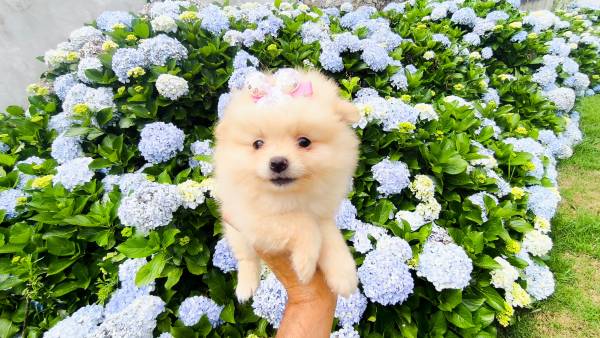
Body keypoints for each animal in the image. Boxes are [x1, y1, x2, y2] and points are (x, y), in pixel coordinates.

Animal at [213, 68, 358, 302]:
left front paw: (343, 274)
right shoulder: (252, 218)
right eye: (258, 144)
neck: (289, 196)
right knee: (246, 258)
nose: (278, 162)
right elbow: (302, 223)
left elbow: (329, 236)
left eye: (304, 142)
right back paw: (246, 286)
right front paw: (305, 263)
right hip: (237, 235)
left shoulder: (320, 212)